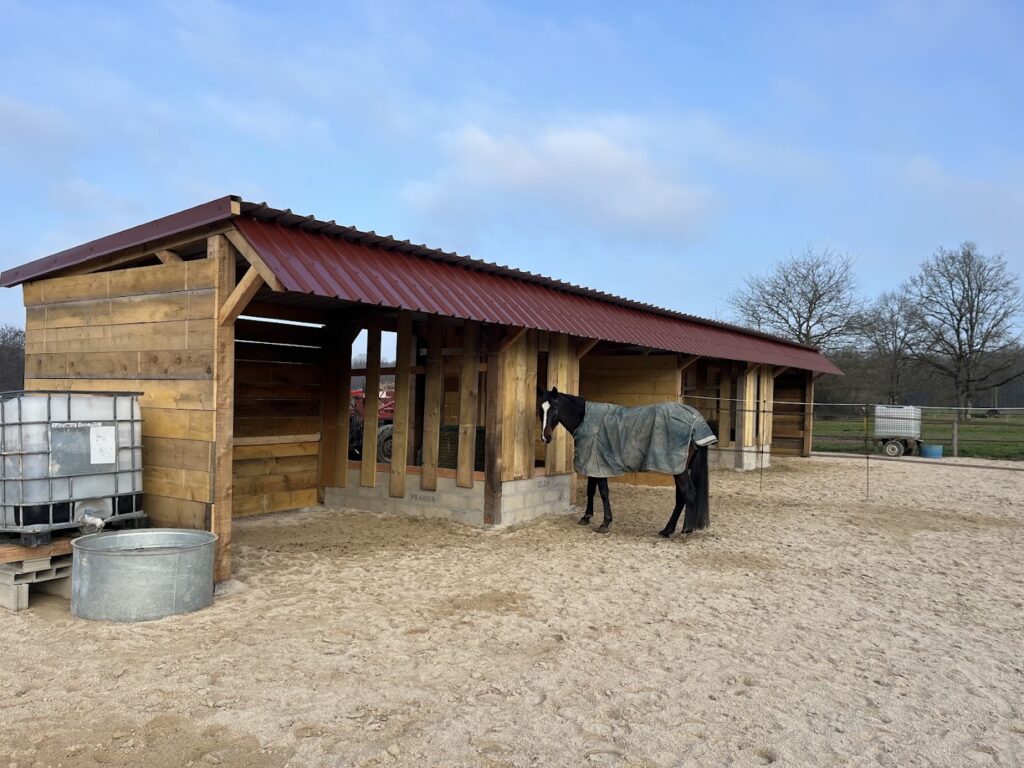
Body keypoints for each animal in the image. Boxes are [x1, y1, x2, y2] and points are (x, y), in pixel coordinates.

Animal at [537, 386, 717, 537]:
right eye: (540, 409)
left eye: (554, 408)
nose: (545, 436)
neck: (585, 419)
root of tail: (695, 420)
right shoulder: (592, 464)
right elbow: (591, 490)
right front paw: (586, 517)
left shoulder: (598, 464)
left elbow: (603, 492)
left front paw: (605, 523)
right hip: (677, 469)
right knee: (681, 497)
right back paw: (667, 530)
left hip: (678, 468)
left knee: (689, 493)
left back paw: (686, 530)